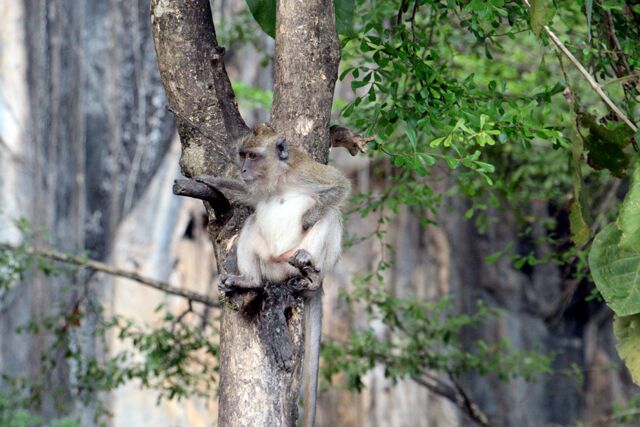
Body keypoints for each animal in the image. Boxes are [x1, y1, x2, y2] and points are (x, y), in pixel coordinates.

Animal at [198, 122, 352, 426]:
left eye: (253, 156)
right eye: (243, 155)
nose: (244, 169)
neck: (279, 178)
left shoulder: (306, 170)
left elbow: (339, 186)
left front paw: (308, 218)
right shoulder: (255, 188)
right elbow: (248, 198)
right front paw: (210, 180)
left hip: (299, 261)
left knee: (331, 215)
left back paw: (310, 269)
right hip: (272, 263)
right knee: (251, 222)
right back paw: (250, 280)